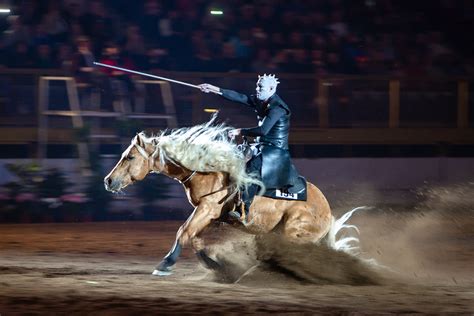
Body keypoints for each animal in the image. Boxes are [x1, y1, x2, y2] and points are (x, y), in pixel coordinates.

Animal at [103, 117, 356, 276]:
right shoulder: (209, 214)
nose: (108, 180)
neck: (209, 170)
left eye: (130, 157)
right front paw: (216, 265)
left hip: (292, 234)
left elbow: (183, 232)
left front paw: (165, 264)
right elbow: (194, 238)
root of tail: (327, 213)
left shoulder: (207, 208)